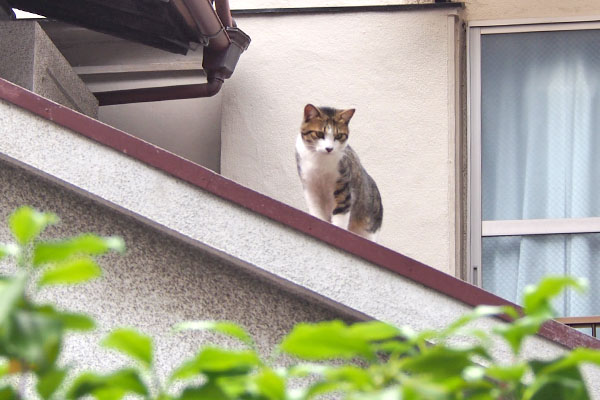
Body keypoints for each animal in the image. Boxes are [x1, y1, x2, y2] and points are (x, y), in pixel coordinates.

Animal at [296, 104, 384, 241]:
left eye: (338, 136)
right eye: (319, 133)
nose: (329, 148)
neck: (320, 162)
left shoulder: (343, 185)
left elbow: (341, 213)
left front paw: (337, 231)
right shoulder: (310, 185)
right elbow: (316, 210)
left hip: (369, 228)